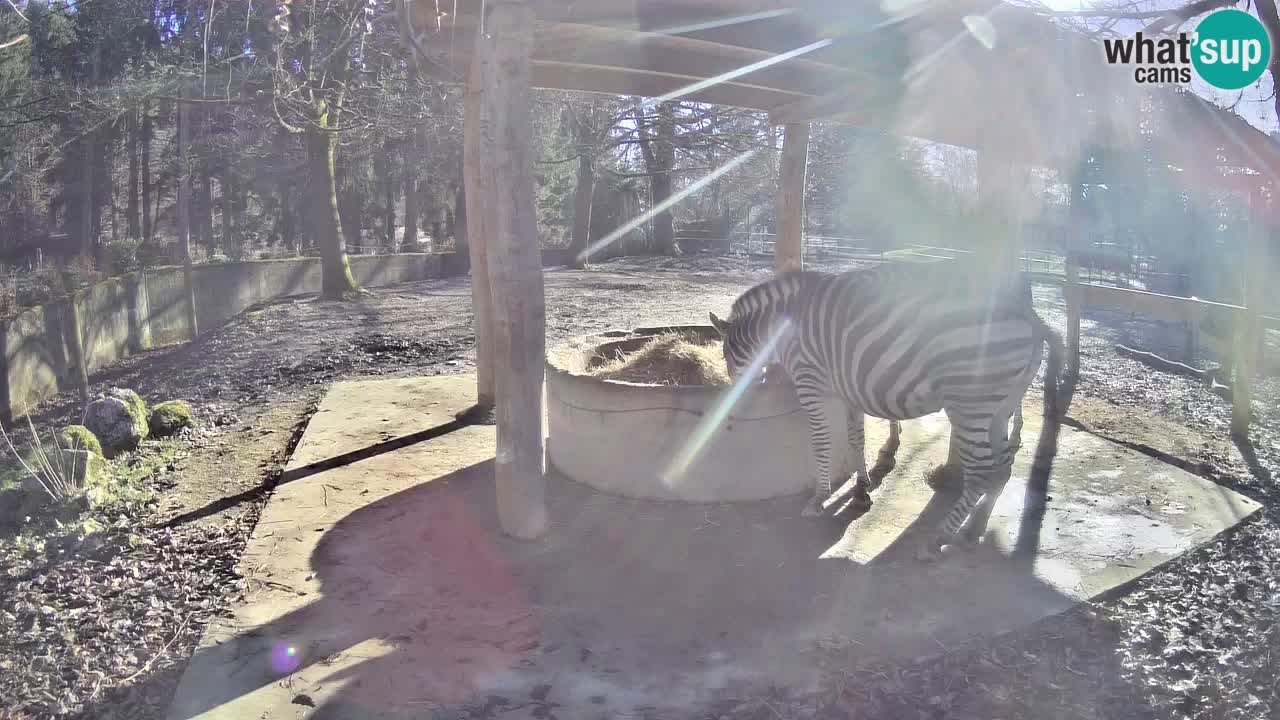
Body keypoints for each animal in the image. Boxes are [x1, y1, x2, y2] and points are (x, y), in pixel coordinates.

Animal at [711, 260, 1059, 558]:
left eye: (726, 355)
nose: (734, 399)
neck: (782, 328)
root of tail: (1026, 311)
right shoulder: (847, 391)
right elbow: (856, 439)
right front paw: (862, 487)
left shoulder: (811, 383)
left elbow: (822, 443)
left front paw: (819, 497)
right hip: (1000, 405)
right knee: (1002, 468)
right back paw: (974, 529)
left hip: (971, 403)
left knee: (980, 473)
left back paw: (938, 539)